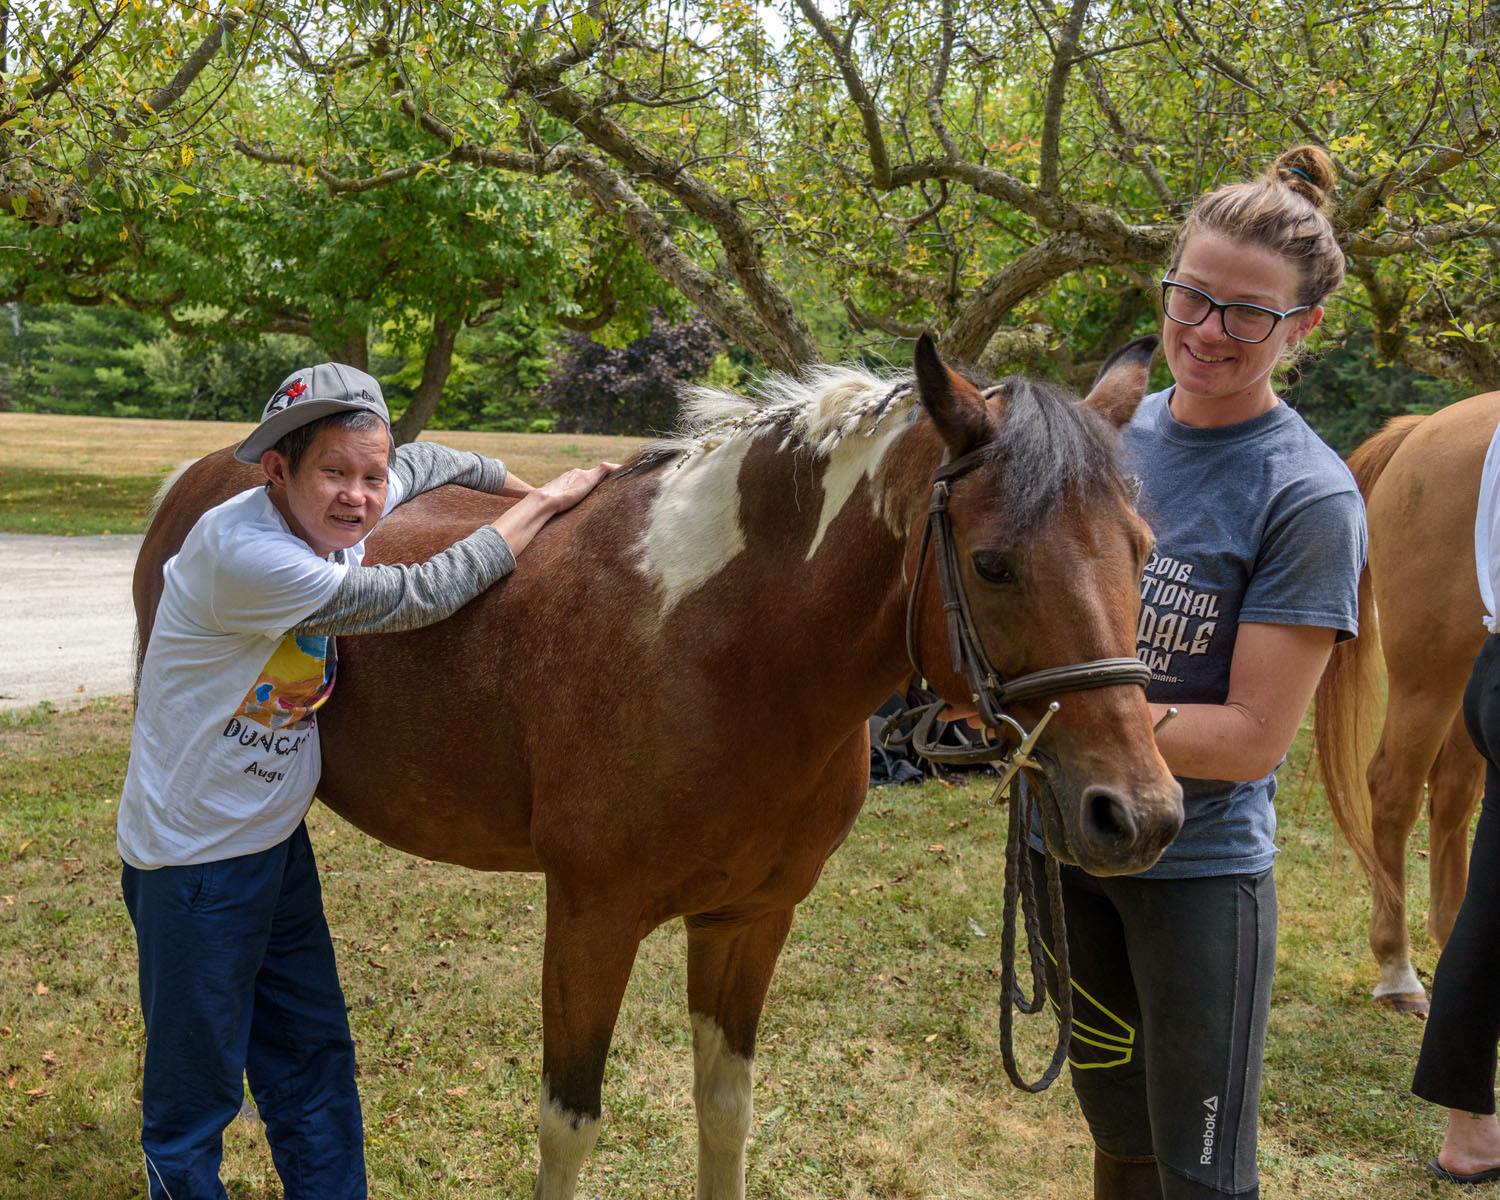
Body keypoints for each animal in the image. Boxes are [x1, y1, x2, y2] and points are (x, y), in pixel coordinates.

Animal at [135, 333, 1176, 1194]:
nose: (1138, 815)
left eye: (1143, 551)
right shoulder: (592, 917)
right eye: (995, 564)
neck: (714, 643)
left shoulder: (749, 919)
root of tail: (199, 481)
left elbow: (725, 1112)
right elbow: (568, 1123)